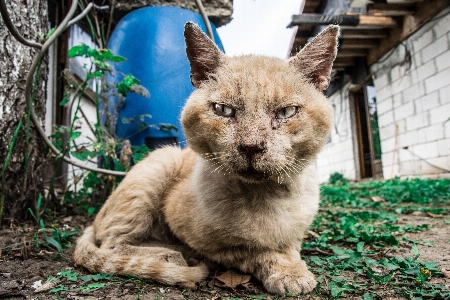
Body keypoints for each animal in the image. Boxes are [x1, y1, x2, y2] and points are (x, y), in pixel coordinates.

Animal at [73, 22, 338, 294]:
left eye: (286, 112)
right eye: (224, 110)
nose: (251, 146)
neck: (267, 198)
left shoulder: (296, 231)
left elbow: (289, 246)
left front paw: (292, 267)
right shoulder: (211, 243)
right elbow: (252, 250)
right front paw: (288, 272)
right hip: (161, 162)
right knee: (112, 244)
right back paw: (172, 255)